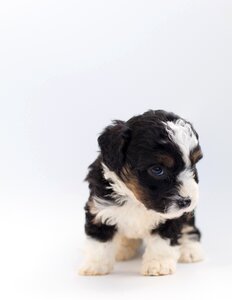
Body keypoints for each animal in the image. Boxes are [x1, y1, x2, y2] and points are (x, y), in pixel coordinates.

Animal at [79, 110, 203, 276]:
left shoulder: (172, 217)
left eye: (193, 165)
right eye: (157, 170)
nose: (187, 201)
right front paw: (95, 266)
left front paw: (158, 264)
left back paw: (190, 249)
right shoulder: (99, 209)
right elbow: (99, 241)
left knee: (189, 227)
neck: (136, 200)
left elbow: (162, 241)